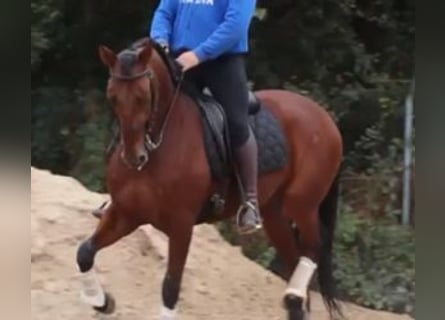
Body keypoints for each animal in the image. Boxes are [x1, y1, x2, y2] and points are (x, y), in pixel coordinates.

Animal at [76, 38, 342, 320]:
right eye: (112, 96)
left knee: (314, 247)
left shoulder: (181, 225)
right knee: (295, 261)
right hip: (274, 213)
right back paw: (295, 299)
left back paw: (294, 292)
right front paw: (101, 301)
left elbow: (170, 287)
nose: (133, 157)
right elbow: (84, 253)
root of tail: (324, 116)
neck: (160, 144)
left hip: (301, 204)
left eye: (142, 96)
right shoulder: (126, 213)